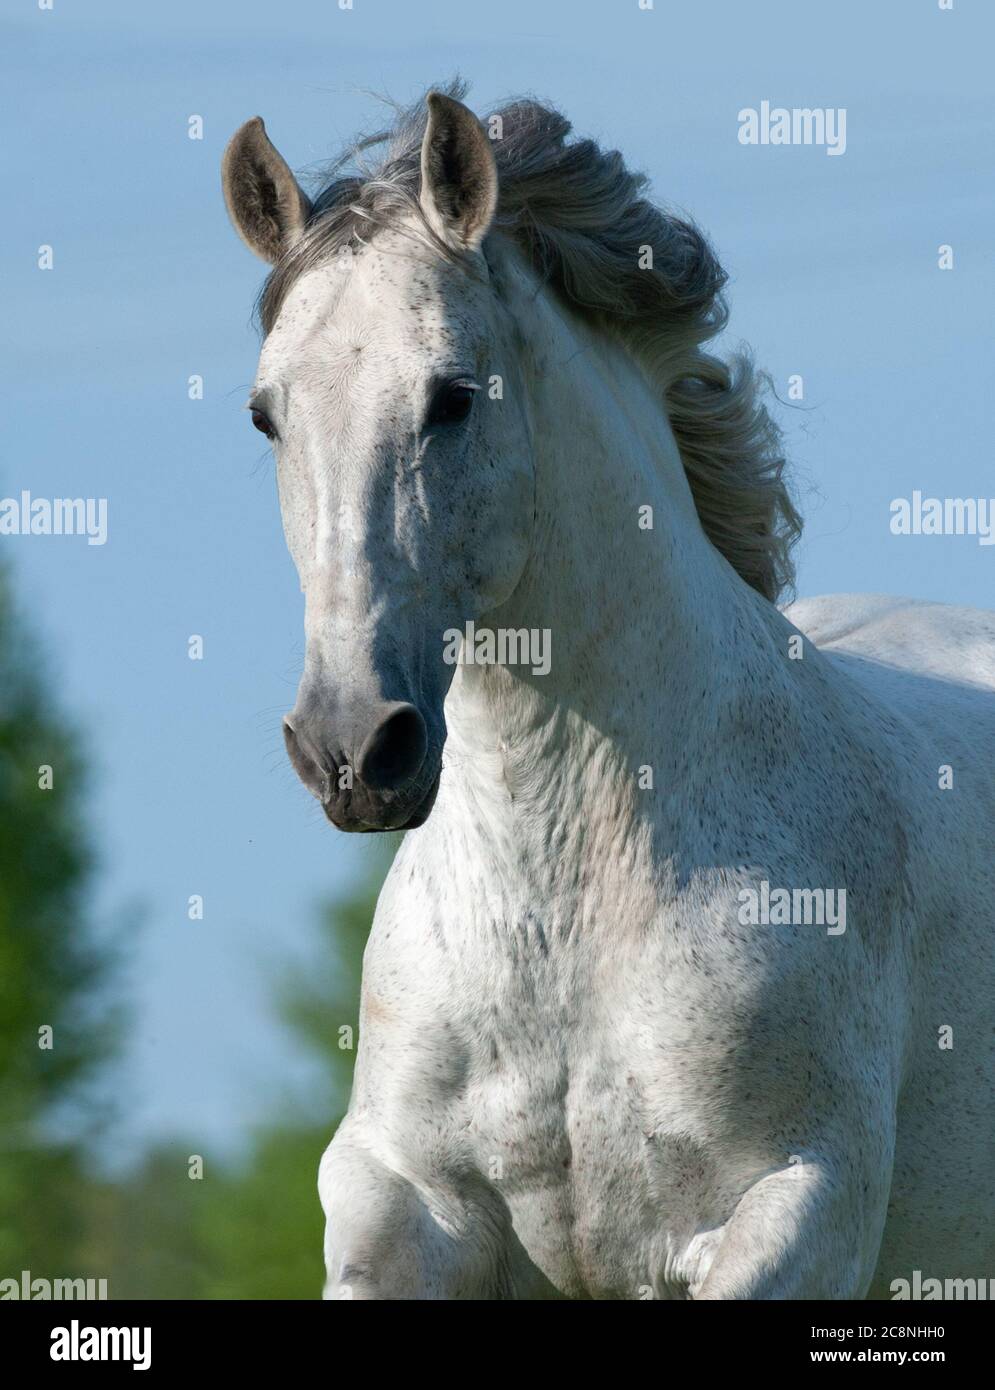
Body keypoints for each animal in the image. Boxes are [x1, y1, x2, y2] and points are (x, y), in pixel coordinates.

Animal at [223, 84, 995, 1301]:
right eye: (267, 414)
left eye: (453, 398)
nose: (351, 749)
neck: (563, 909)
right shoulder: (399, 1201)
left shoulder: (797, 1210)